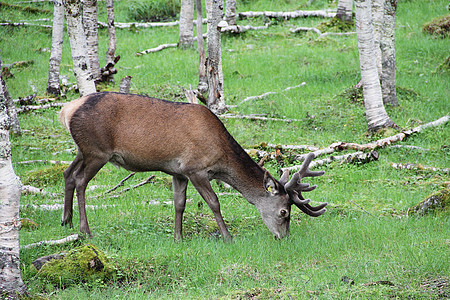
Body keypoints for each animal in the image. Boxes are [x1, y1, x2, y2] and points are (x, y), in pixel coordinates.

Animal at [59, 91, 326, 241]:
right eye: (284, 212)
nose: (283, 238)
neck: (220, 156)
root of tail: (66, 109)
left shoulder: (178, 172)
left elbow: (179, 204)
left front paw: (178, 238)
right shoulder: (195, 168)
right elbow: (214, 202)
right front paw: (227, 237)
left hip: (82, 150)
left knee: (68, 173)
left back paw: (66, 221)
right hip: (97, 151)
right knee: (81, 180)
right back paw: (85, 230)